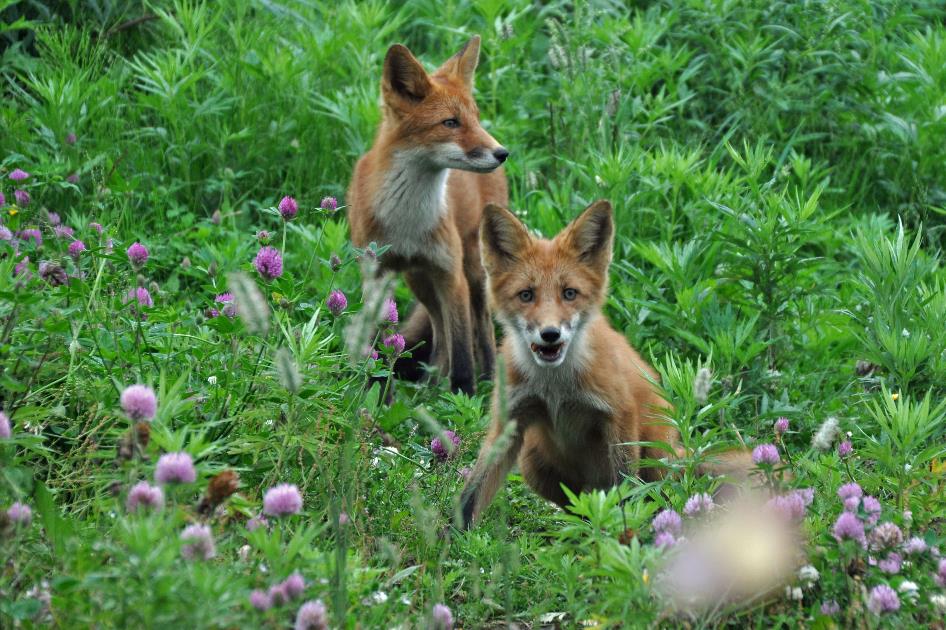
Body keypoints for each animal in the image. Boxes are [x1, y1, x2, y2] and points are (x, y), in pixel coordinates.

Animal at [346, 34, 508, 396]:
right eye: (450, 122)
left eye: (476, 118)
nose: (502, 152)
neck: (408, 221)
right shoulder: (376, 273)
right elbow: (379, 340)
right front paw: (378, 391)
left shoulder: (451, 274)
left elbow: (463, 353)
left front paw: (463, 399)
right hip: (418, 279)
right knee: (438, 329)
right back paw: (429, 385)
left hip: (473, 271)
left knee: (482, 330)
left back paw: (489, 383)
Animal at [460, 201, 748, 528]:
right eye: (526, 295)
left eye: (569, 293)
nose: (550, 334)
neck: (556, 388)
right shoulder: (508, 419)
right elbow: (472, 493)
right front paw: (452, 537)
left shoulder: (618, 414)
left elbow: (626, 490)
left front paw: (625, 533)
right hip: (533, 463)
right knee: (579, 507)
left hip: (655, 456)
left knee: (656, 494)